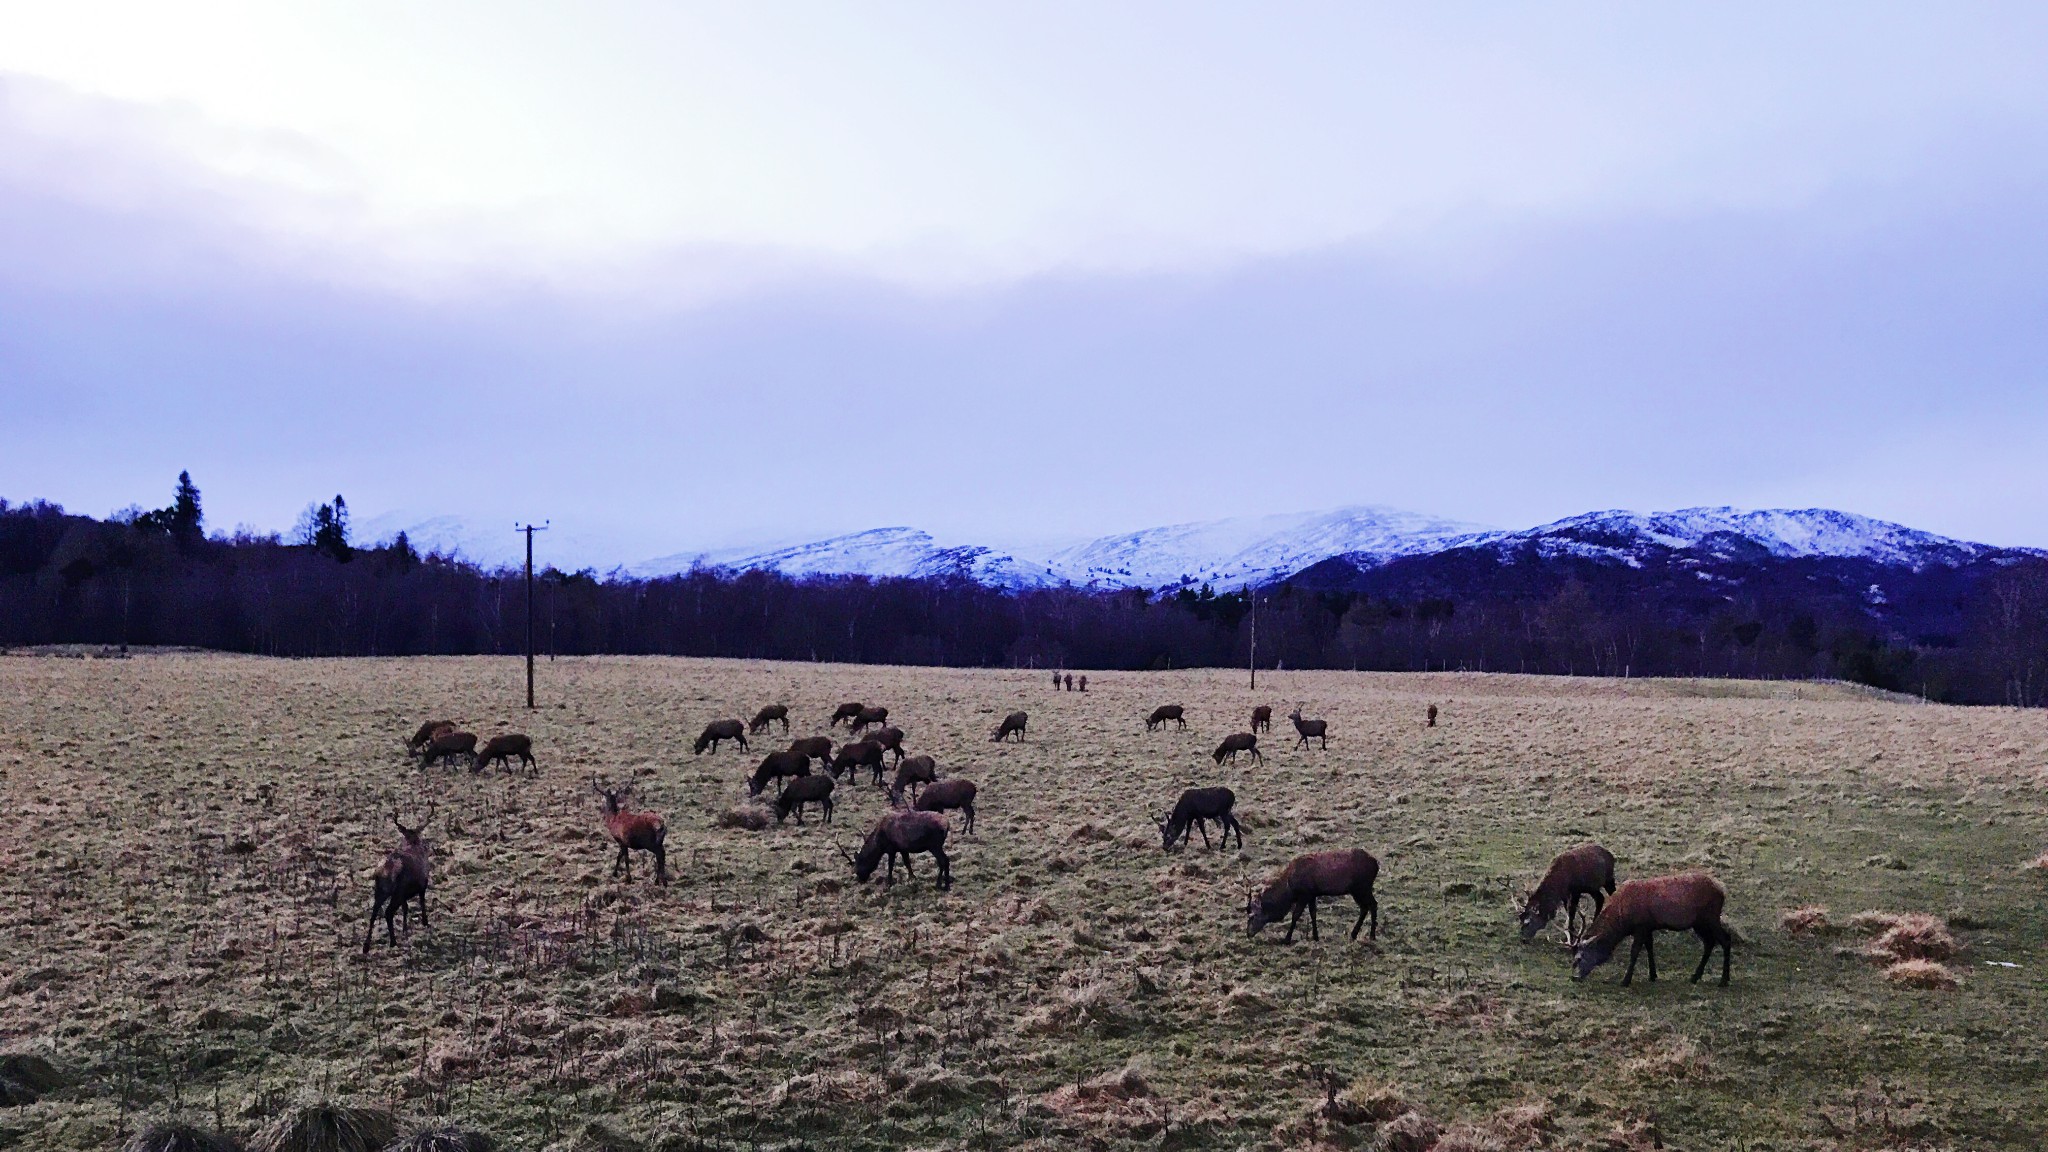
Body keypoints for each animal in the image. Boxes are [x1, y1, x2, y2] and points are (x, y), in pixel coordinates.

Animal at [366, 799, 434, 951]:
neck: (411, 844)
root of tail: (385, 872)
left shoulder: (405, 895)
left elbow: (405, 908)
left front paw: (405, 930)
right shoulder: (423, 883)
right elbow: (422, 902)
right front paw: (425, 922)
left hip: (380, 890)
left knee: (374, 913)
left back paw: (366, 947)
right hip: (397, 891)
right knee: (388, 912)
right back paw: (393, 942)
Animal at [1236, 844, 1384, 942]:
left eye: (1252, 916)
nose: (1248, 934)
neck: (1289, 889)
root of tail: (1376, 864)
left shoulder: (1305, 894)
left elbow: (1296, 915)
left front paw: (1287, 938)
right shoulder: (1312, 894)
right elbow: (1313, 913)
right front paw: (1315, 936)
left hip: (1362, 887)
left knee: (1372, 904)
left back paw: (1372, 935)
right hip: (1358, 889)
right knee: (1365, 907)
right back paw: (1354, 934)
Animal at [1564, 873, 1728, 983]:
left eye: (1579, 958)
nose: (1574, 977)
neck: (1622, 921)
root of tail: (1722, 891)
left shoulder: (1641, 926)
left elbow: (1635, 951)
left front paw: (1626, 980)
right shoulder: (1648, 926)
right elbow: (1649, 947)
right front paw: (1653, 975)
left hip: (1711, 917)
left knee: (1725, 939)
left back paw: (1724, 980)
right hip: (1699, 923)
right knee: (1709, 943)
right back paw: (1695, 976)